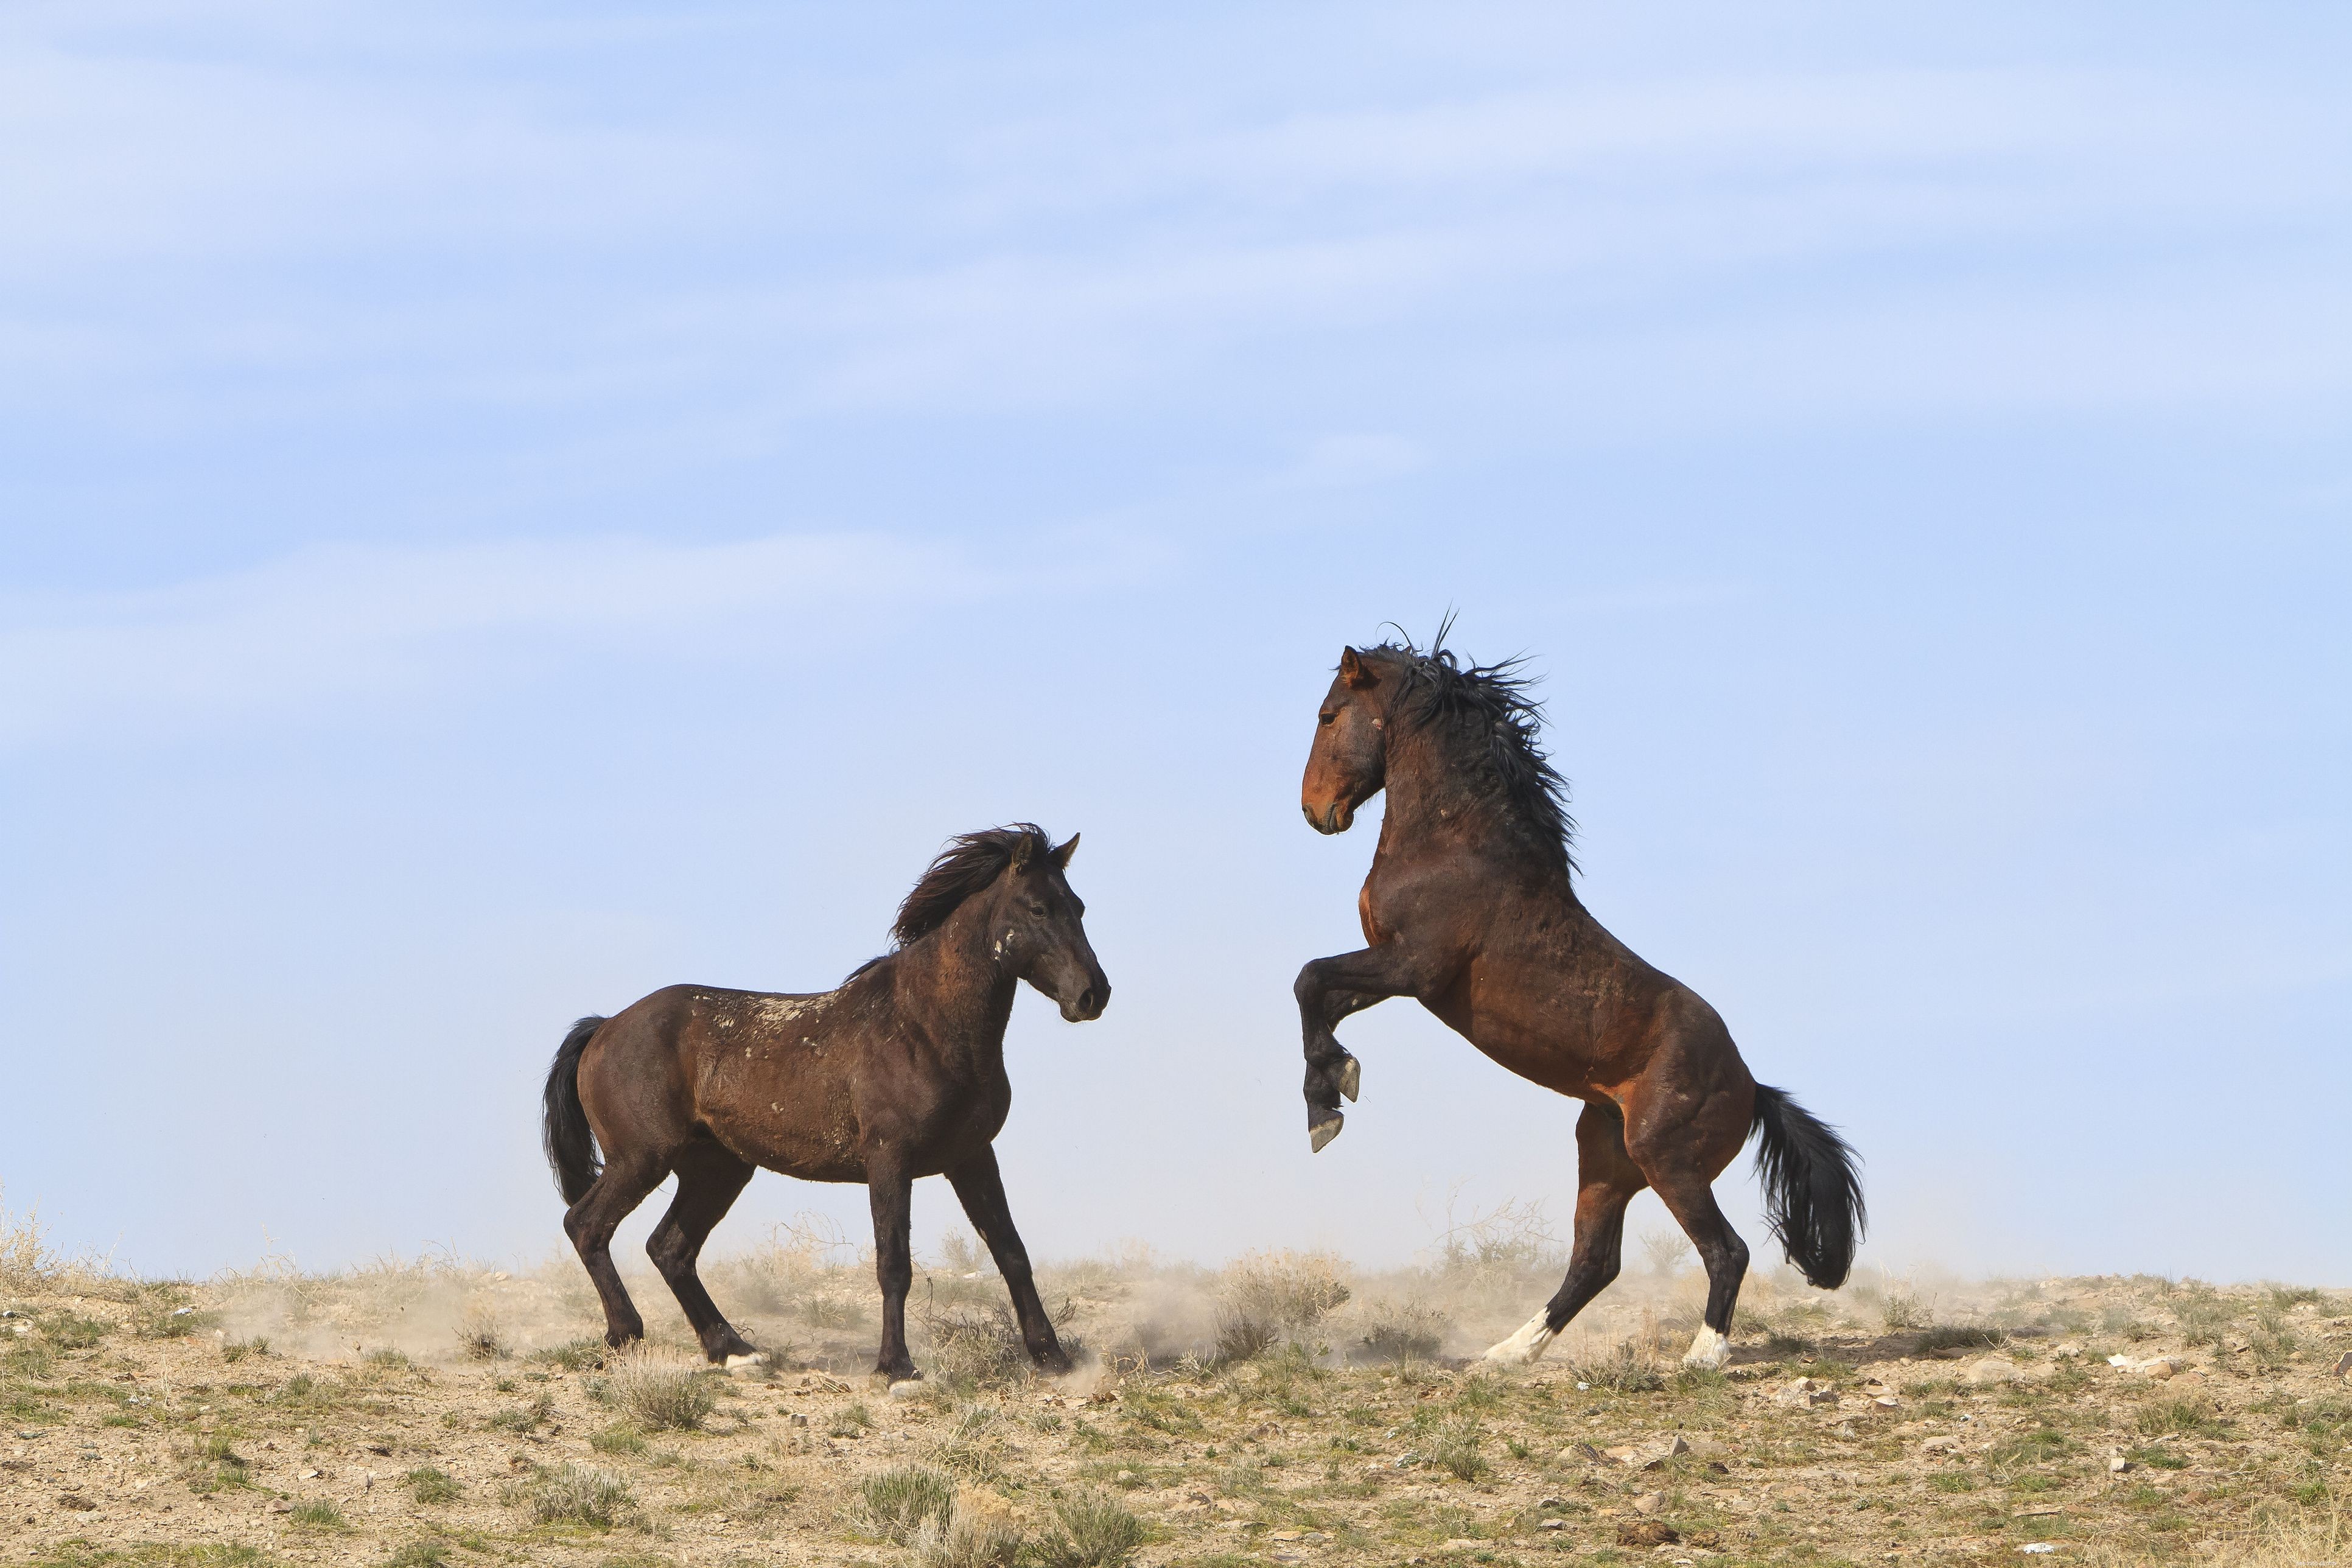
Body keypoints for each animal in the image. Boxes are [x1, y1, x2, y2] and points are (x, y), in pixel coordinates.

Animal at [540, 824, 1108, 1380]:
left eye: (1079, 907)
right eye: (1038, 908)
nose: (1093, 995)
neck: (925, 1025)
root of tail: (605, 1028)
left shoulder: (972, 1157)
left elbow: (1012, 1252)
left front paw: (1052, 1357)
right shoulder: (889, 1159)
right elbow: (893, 1263)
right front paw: (896, 1367)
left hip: (717, 1169)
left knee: (669, 1249)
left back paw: (733, 1350)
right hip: (641, 1160)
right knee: (587, 1227)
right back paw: (626, 1334)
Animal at [1294, 633, 1863, 1370]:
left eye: (1329, 715)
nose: (1315, 811)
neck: (1455, 843)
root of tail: (1751, 1087)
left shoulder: (1415, 968)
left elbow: (1310, 979)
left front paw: (1327, 1107)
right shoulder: (1397, 974)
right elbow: (1321, 997)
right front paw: (1334, 1086)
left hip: (1667, 1160)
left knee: (1724, 1250)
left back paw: (1702, 1356)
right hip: (1604, 1159)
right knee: (1595, 1261)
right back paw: (1508, 1353)